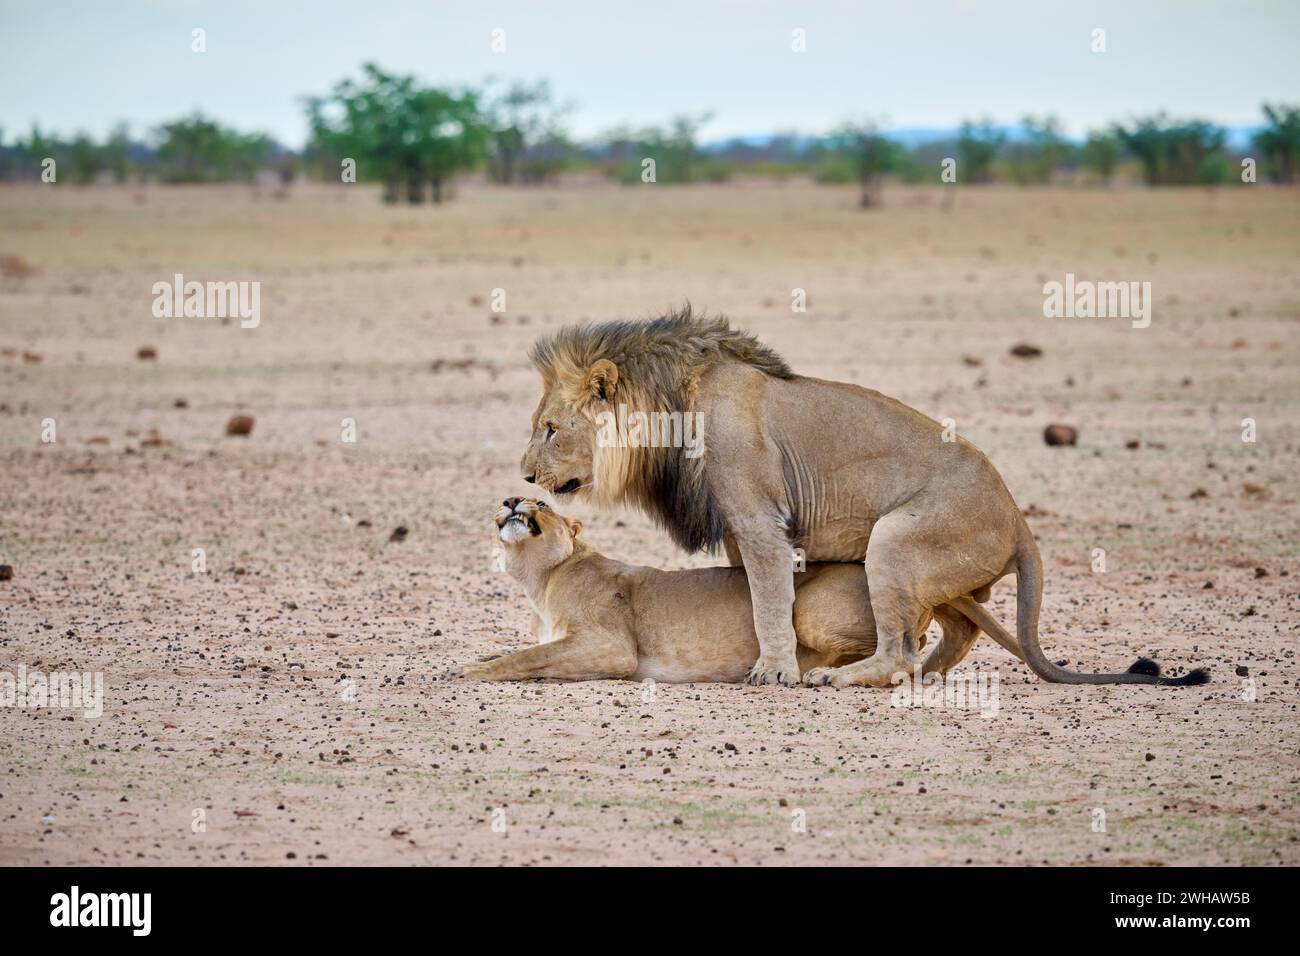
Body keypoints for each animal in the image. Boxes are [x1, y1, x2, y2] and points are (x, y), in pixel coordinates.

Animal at [459, 496, 1026, 682]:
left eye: (543, 503)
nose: (511, 500)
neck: (540, 579)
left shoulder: (611, 647)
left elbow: (527, 659)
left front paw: (468, 673)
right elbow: (517, 649)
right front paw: (470, 661)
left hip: (812, 609)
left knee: (904, 647)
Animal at [519, 308, 1207, 689]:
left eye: (550, 430)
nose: (523, 477)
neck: (671, 409)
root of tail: (1018, 520)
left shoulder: (759, 520)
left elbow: (768, 600)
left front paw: (775, 671)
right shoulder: (742, 531)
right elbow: (751, 599)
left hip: (896, 538)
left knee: (900, 646)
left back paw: (845, 676)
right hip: (937, 572)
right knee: (952, 632)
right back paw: (921, 678)